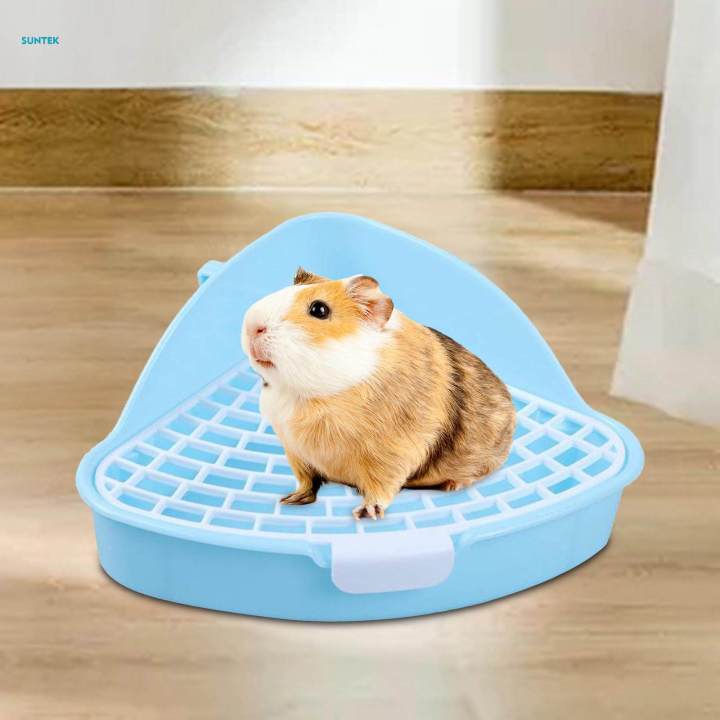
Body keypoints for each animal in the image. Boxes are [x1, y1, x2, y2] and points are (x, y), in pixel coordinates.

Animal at [241, 267, 516, 519]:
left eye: (319, 310)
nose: (253, 327)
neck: (305, 394)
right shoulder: (295, 451)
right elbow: (307, 481)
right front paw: (290, 500)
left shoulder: (391, 454)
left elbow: (380, 487)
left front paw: (366, 513)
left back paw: (451, 485)